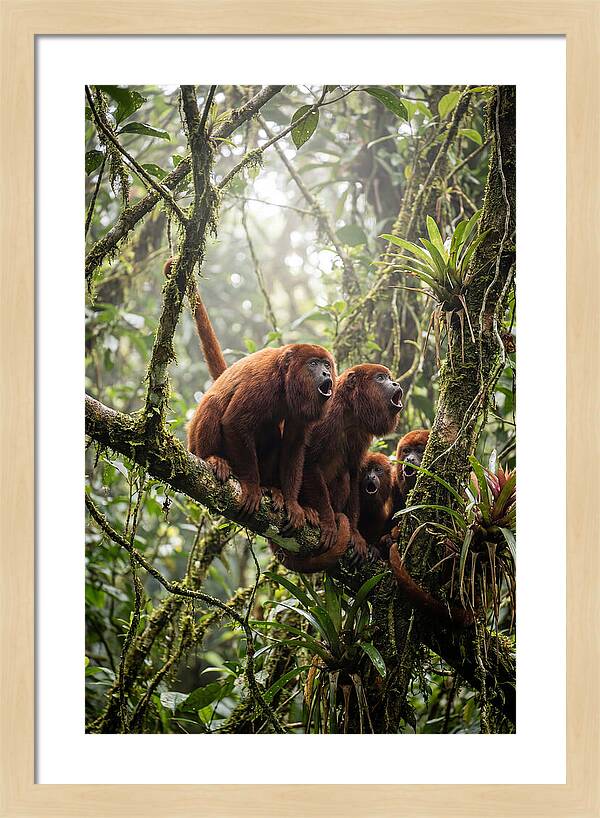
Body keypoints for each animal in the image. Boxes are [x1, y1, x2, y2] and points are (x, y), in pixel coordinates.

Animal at [166, 258, 337, 529]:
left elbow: (293, 445)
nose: (326, 374)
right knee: (214, 404)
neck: (285, 381)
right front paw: (252, 486)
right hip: (194, 443)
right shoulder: (262, 382)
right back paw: (214, 459)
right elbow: (234, 422)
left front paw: (292, 503)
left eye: (326, 364)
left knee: (272, 434)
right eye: (313, 364)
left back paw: (272, 489)